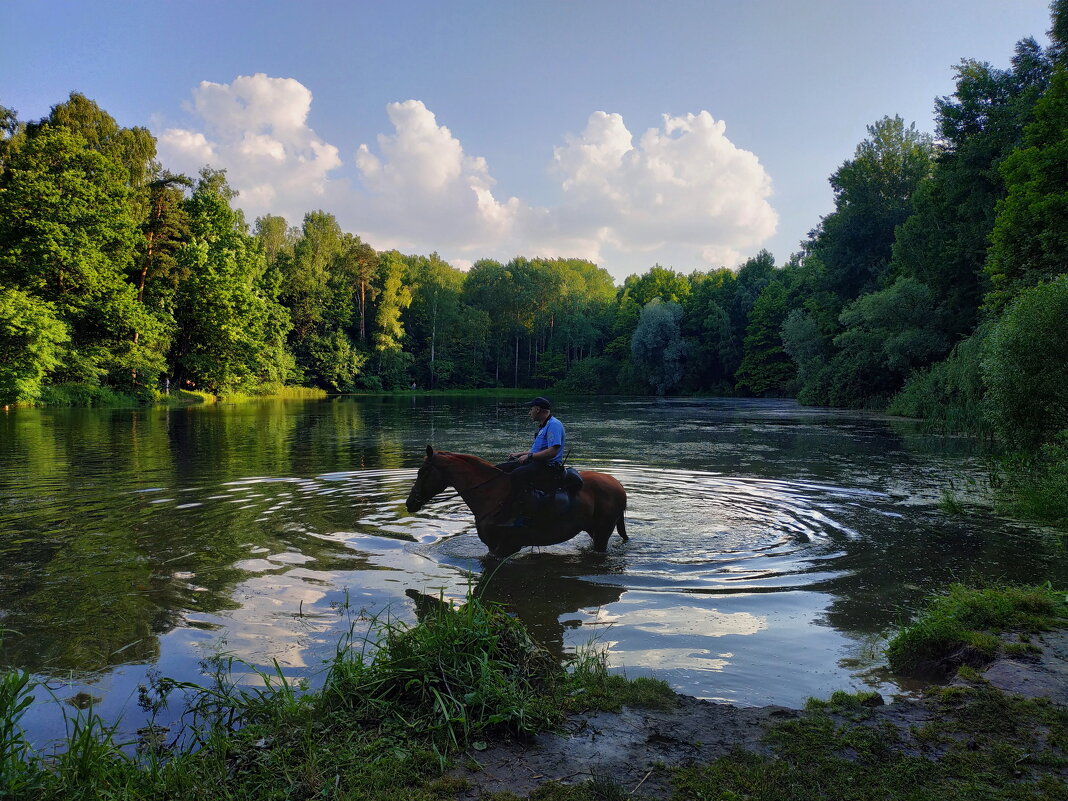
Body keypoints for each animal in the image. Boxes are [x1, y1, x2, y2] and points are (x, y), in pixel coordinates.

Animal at [405, 448, 623, 559]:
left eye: (422, 472)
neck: (491, 494)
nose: (410, 503)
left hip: (602, 533)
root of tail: (618, 484)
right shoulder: (493, 548)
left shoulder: (502, 547)